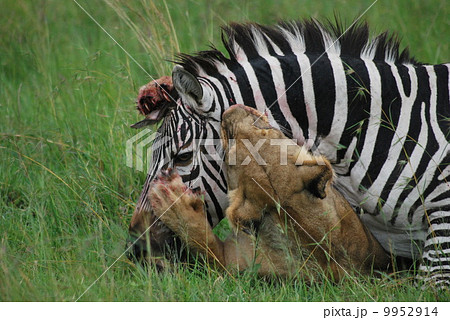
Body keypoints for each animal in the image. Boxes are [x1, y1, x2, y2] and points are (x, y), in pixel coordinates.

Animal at [146, 105, 388, 280]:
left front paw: (171, 199)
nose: (230, 110)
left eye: (228, 155)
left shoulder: (230, 266)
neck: (294, 218)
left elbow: (203, 240)